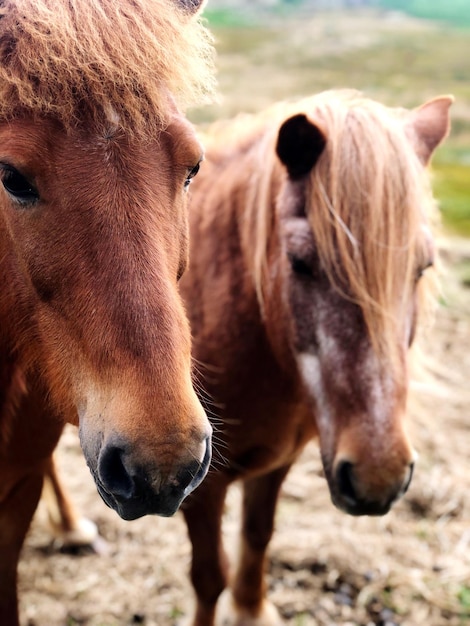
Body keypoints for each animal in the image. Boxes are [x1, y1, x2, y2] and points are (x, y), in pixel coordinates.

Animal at [177, 89, 452, 624]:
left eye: (423, 267)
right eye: (301, 263)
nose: (378, 477)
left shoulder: (277, 463)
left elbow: (257, 537)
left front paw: (252, 609)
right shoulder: (199, 488)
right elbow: (209, 575)